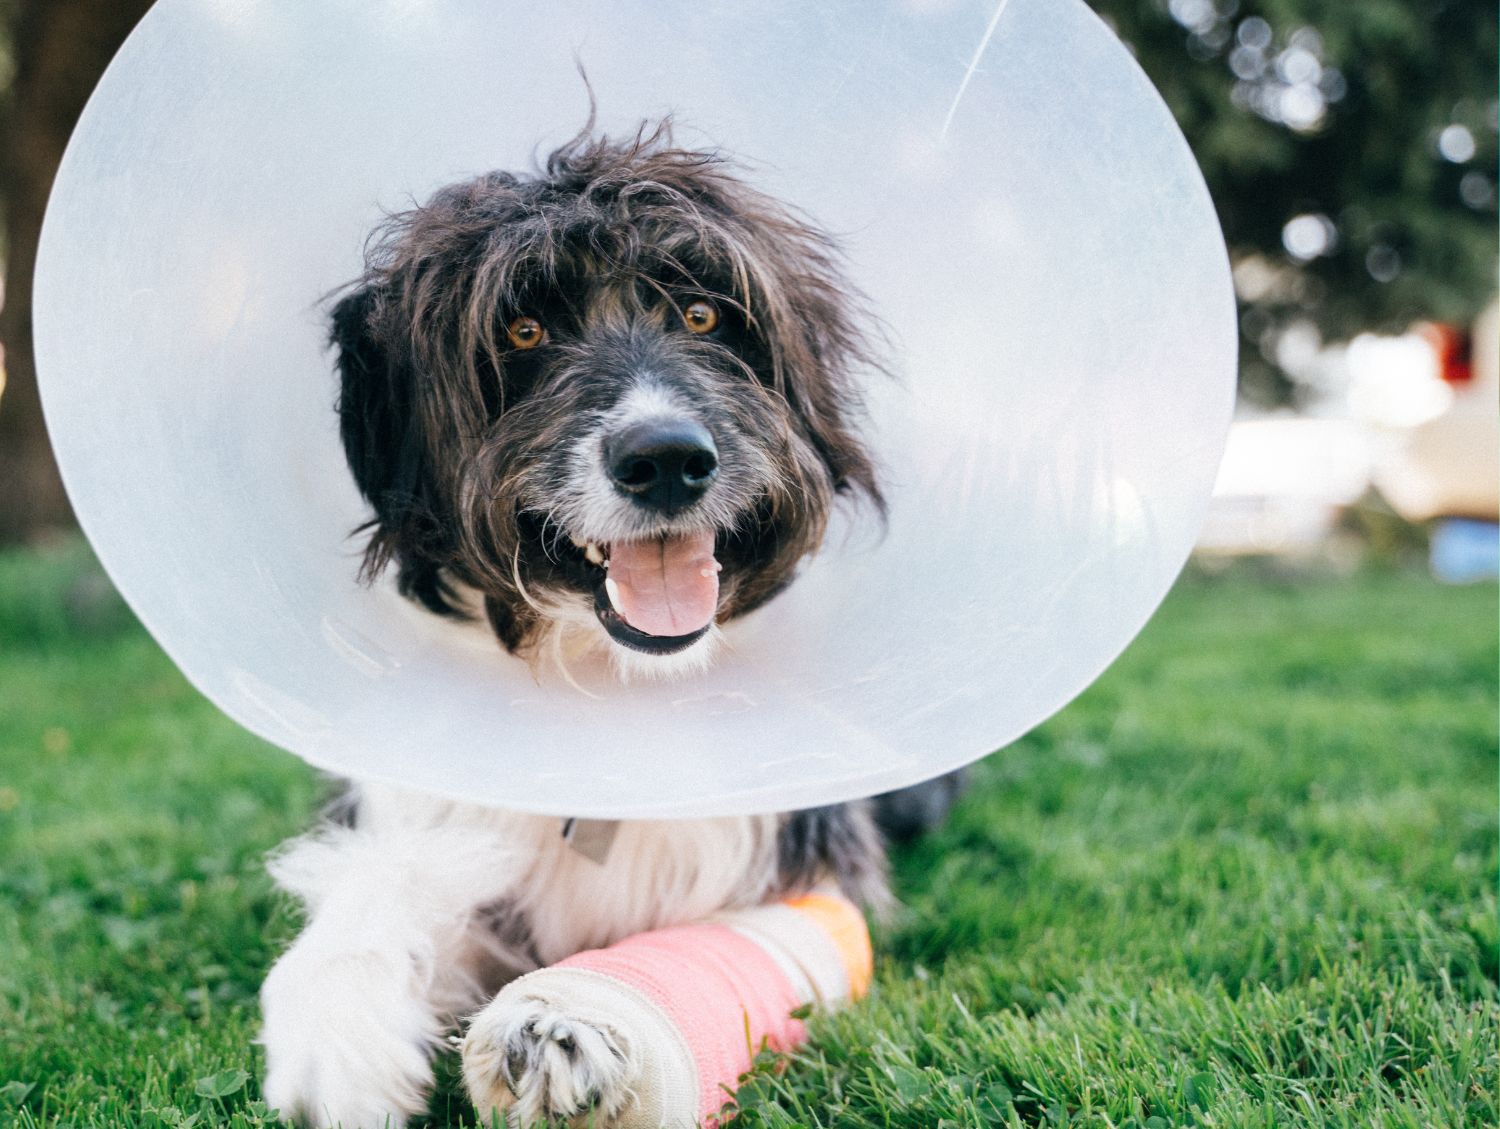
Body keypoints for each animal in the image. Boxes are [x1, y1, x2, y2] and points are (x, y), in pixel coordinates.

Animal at [256, 125, 960, 1127]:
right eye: (521, 330)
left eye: (705, 315)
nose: (666, 458)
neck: (612, 687)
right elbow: (386, 882)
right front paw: (339, 1024)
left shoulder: (806, 873)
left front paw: (569, 1022)